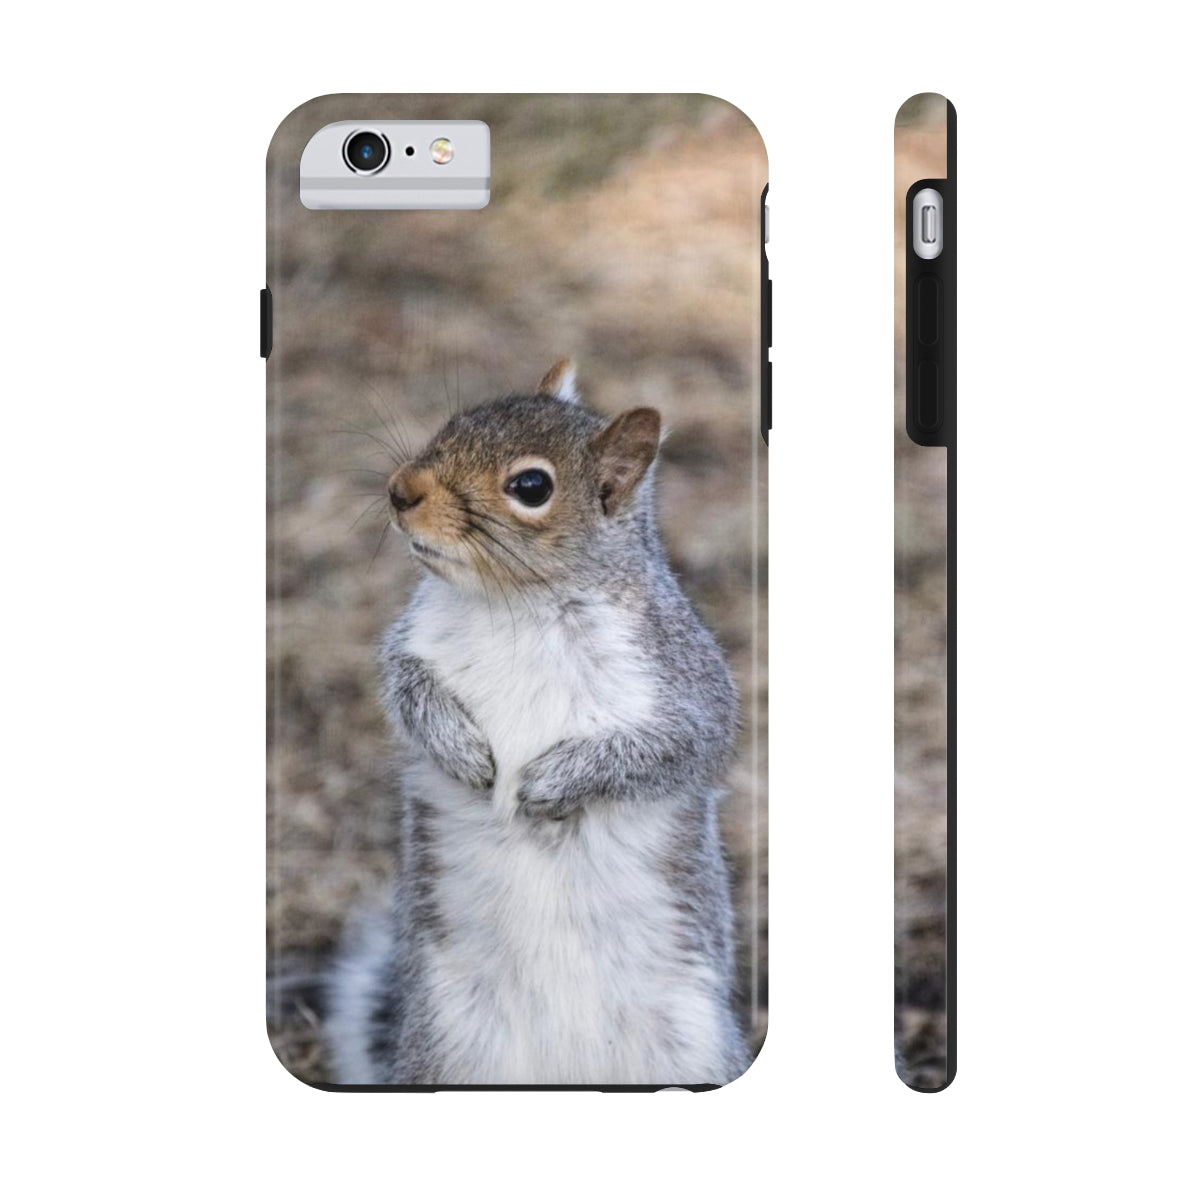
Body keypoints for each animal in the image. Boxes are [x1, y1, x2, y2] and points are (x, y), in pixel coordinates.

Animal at [326, 360, 748, 1086]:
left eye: (531, 487)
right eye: (454, 423)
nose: (400, 491)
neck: (517, 604)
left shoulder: (683, 685)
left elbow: (670, 749)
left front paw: (549, 784)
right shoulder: (412, 645)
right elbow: (406, 690)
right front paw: (463, 751)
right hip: (446, 1048)